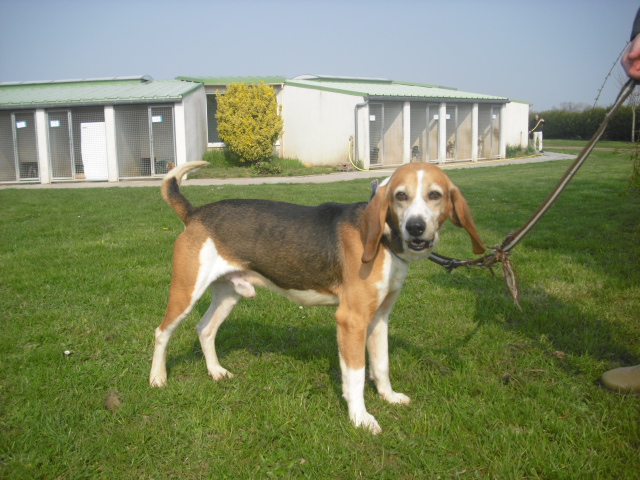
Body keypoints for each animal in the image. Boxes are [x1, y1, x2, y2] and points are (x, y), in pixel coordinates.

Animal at [150, 161, 482, 436]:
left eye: (435, 195)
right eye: (401, 196)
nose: (416, 227)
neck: (385, 240)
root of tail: (195, 213)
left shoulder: (378, 320)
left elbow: (381, 365)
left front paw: (388, 396)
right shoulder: (351, 321)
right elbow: (356, 375)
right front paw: (360, 418)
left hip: (228, 294)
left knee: (205, 329)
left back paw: (216, 372)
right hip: (185, 293)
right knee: (162, 332)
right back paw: (157, 379)